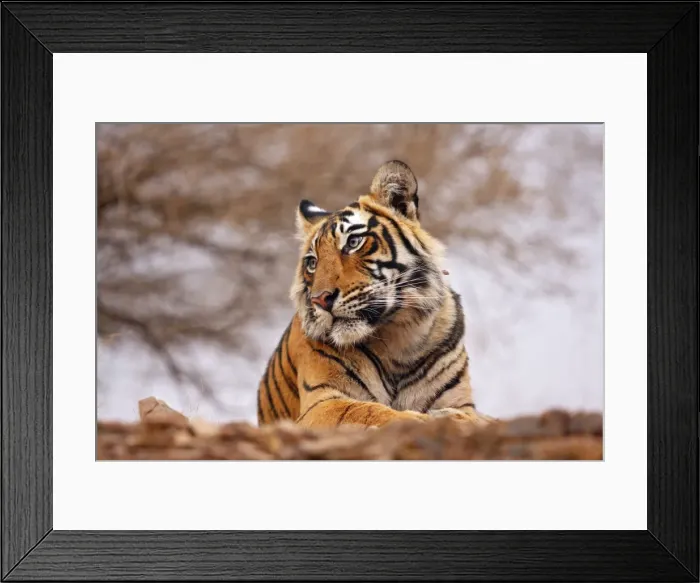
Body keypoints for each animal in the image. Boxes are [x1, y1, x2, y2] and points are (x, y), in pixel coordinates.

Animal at [256, 160, 495, 429]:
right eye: (312, 263)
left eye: (353, 242)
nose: (320, 299)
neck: (401, 335)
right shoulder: (320, 404)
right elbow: (368, 411)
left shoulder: (462, 402)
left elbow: (471, 417)